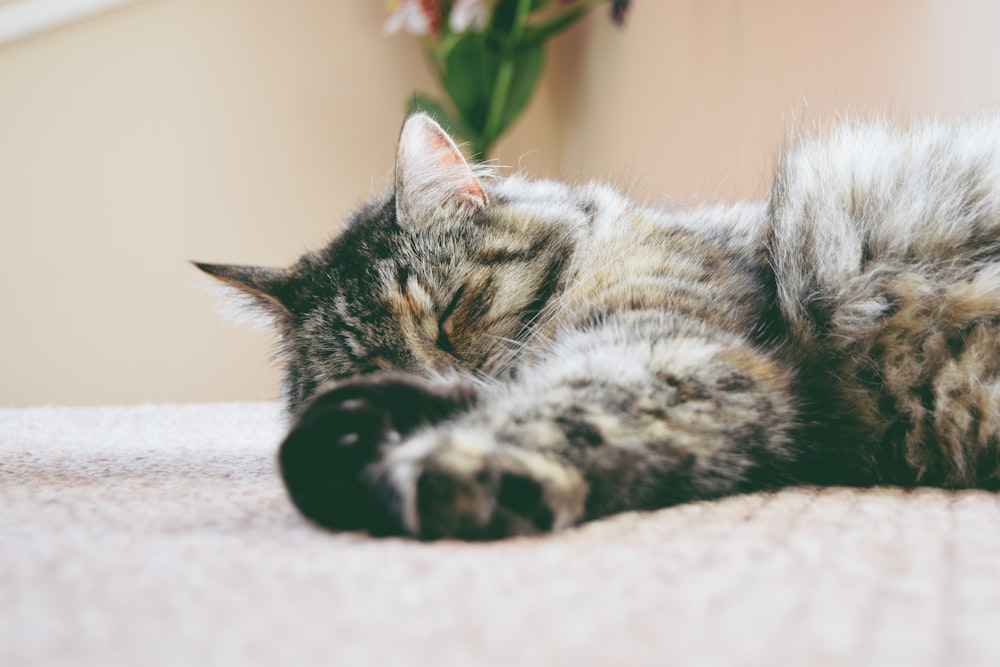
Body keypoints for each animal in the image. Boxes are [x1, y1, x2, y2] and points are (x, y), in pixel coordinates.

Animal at [195, 113, 1000, 544]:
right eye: (366, 365)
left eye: (454, 309)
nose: (436, 374)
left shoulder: (668, 350)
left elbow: (558, 413)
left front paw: (435, 468)